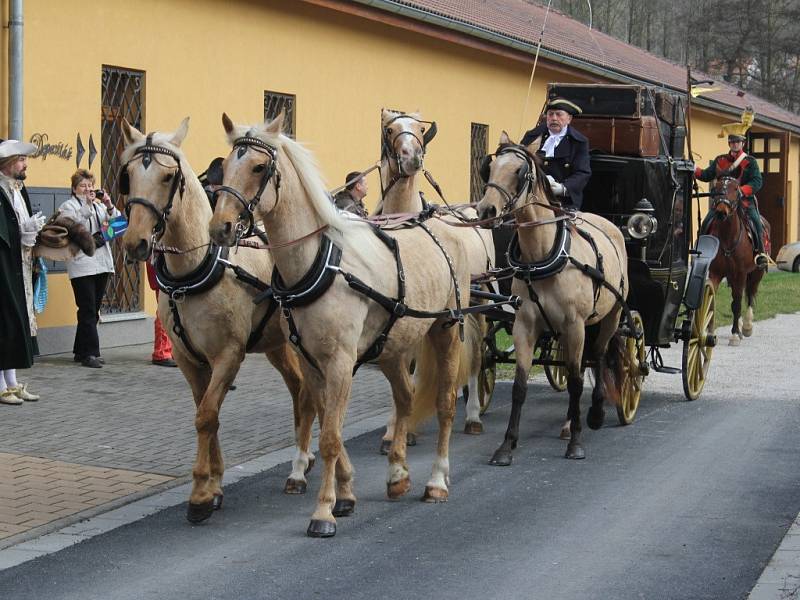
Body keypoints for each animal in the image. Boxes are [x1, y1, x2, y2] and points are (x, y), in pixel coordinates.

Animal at [120, 119, 318, 524]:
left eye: (168, 176)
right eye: (128, 175)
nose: (134, 243)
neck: (194, 269)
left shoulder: (228, 355)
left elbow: (207, 416)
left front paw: (200, 494)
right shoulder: (189, 360)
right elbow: (204, 412)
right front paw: (214, 484)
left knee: (308, 392)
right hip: (276, 345)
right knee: (298, 389)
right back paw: (302, 457)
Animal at [208, 112, 476, 540]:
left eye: (259, 167)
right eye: (226, 167)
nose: (221, 227)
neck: (319, 261)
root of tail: (441, 224)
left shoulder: (339, 362)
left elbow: (332, 437)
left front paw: (324, 512)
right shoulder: (312, 361)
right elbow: (324, 420)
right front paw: (345, 492)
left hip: (446, 330)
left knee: (446, 404)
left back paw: (436, 481)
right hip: (391, 347)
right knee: (404, 398)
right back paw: (397, 474)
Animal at [376, 109, 494, 436]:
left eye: (419, 128)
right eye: (389, 129)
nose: (412, 156)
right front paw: (394, 428)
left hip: (479, 300)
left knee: (477, 355)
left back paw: (474, 415)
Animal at [478, 134, 628, 464]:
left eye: (519, 171)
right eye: (490, 167)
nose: (485, 212)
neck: (542, 255)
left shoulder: (575, 325)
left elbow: (574, 382)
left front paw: (576, 443)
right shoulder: (525, 325)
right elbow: (520, 387)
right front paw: (507, 445)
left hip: (608, 318)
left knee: (597, 358)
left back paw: (593, 415)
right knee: (584, 364)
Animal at [708, 176, 768, 344]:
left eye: (735, 189)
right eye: (717, 188)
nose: (721, 211)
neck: (728, 237)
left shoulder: (741, 273)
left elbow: (737, 303)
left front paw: (735, 334)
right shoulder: (715, 273)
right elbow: (713, 302)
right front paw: (708, 331)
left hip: (756, 273)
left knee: (750, 295)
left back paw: (746, 326)